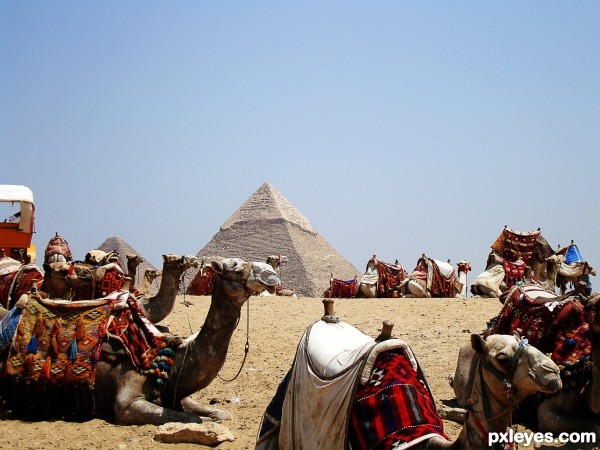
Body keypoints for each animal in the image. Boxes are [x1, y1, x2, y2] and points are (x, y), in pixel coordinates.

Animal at [0, 258, 282, 424]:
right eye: (235, 265)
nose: (271, 276)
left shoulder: (174, 391)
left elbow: (217, 412)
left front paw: (219, 415)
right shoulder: (127, 403)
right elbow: (186, 418)